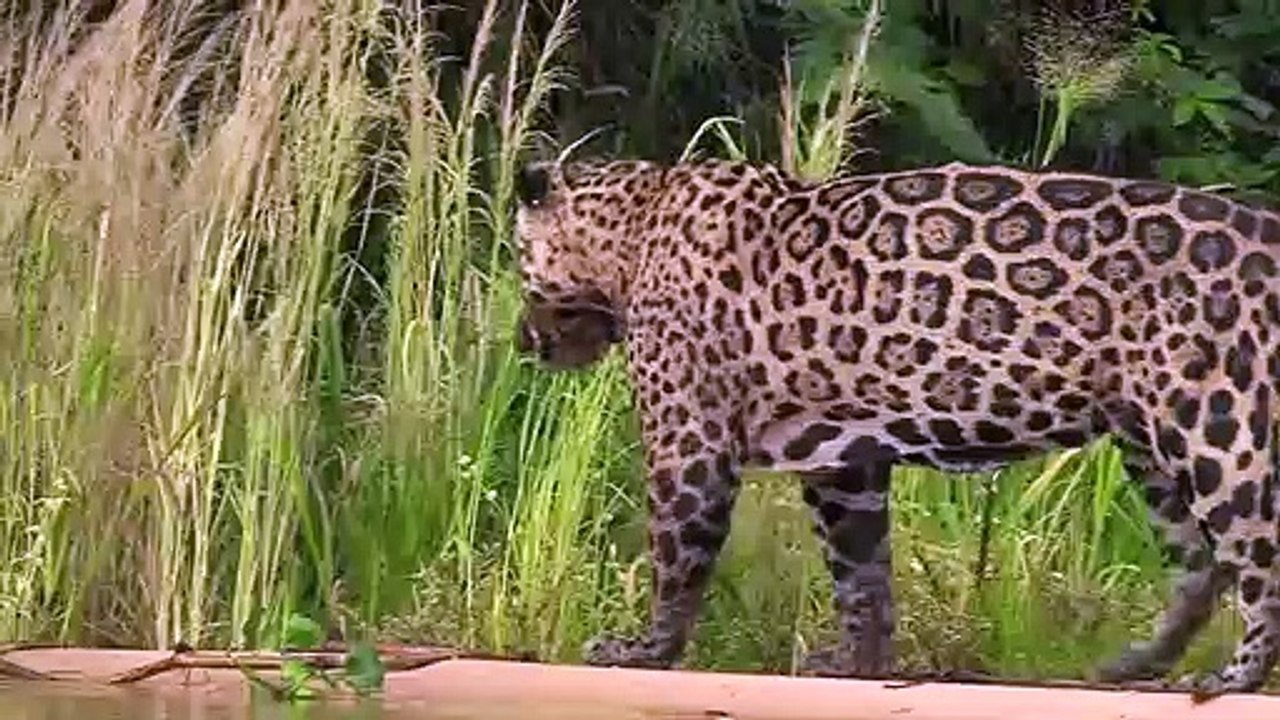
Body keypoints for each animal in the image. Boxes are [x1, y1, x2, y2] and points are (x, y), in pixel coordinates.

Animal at [512, 155, 1280, 694]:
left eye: (518, 261)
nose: (524, 340)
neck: (633, 228)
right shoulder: (842, 465)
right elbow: (861, 571)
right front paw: (860, 662)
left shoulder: (689, 443)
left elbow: (677, 558)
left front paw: (645, 651)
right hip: (1149, 444)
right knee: (1201, 565)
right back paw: (1137, 665)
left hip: (1220, 426)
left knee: (1257, 553)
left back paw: (1233, 679)